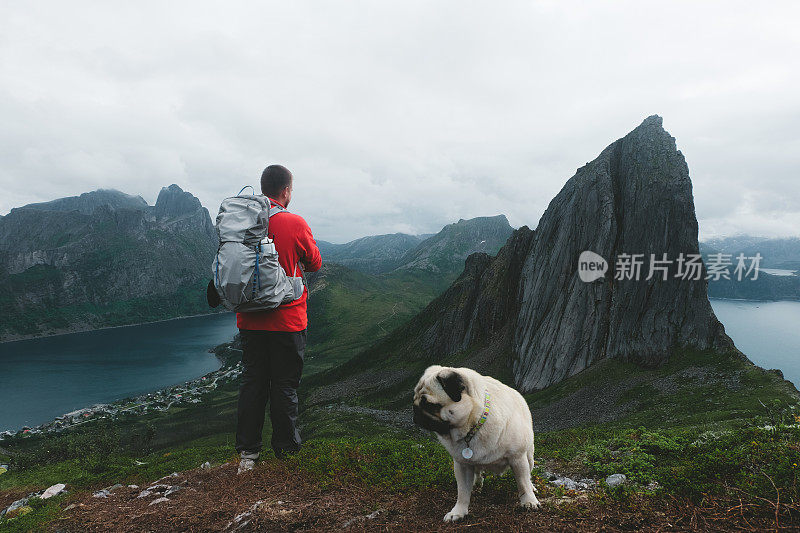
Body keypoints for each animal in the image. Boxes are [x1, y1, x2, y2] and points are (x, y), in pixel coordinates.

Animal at [412, 364, 536, 520]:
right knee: (477, 472)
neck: (472, 427)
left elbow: (523, 483)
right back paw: (477, 485)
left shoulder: (517, 458)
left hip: (529, 456)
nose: (415, 410)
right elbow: (463, 492)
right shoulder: (462, 465)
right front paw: (458, 512)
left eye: (429, 405)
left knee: (528, 474)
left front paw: (529, 501)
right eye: (414, 399)